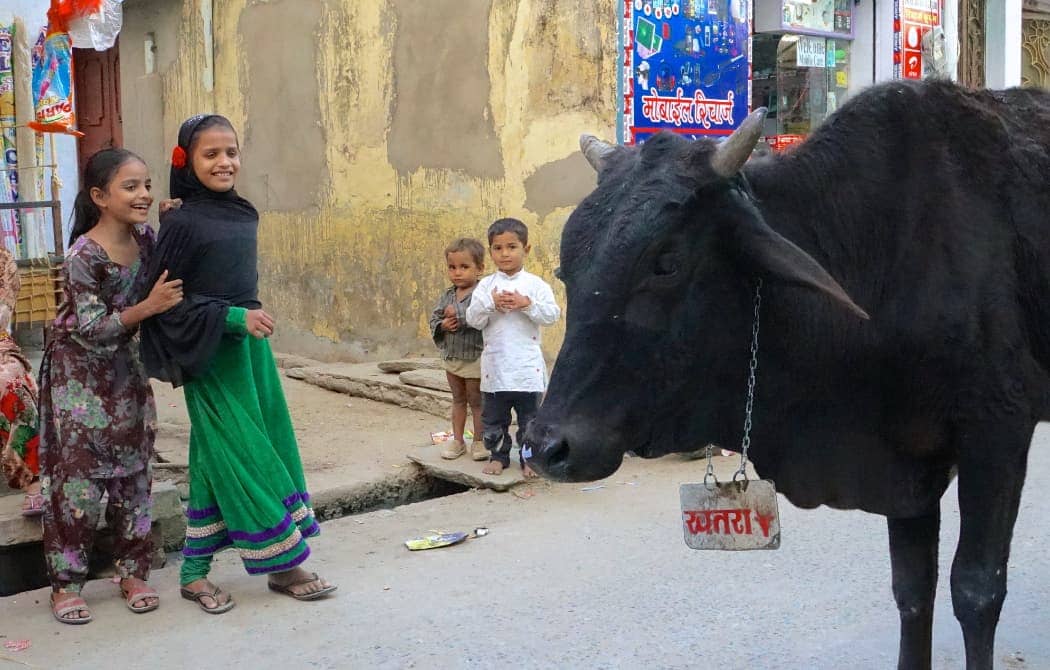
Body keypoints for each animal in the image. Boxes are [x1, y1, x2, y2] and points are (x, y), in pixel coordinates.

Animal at [529, 81, 1050, 670]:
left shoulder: (999, 431)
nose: (546, 446)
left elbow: (977, 590)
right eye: (567, 267)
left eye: (665, 262)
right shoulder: (906, 461)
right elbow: (913, 587)